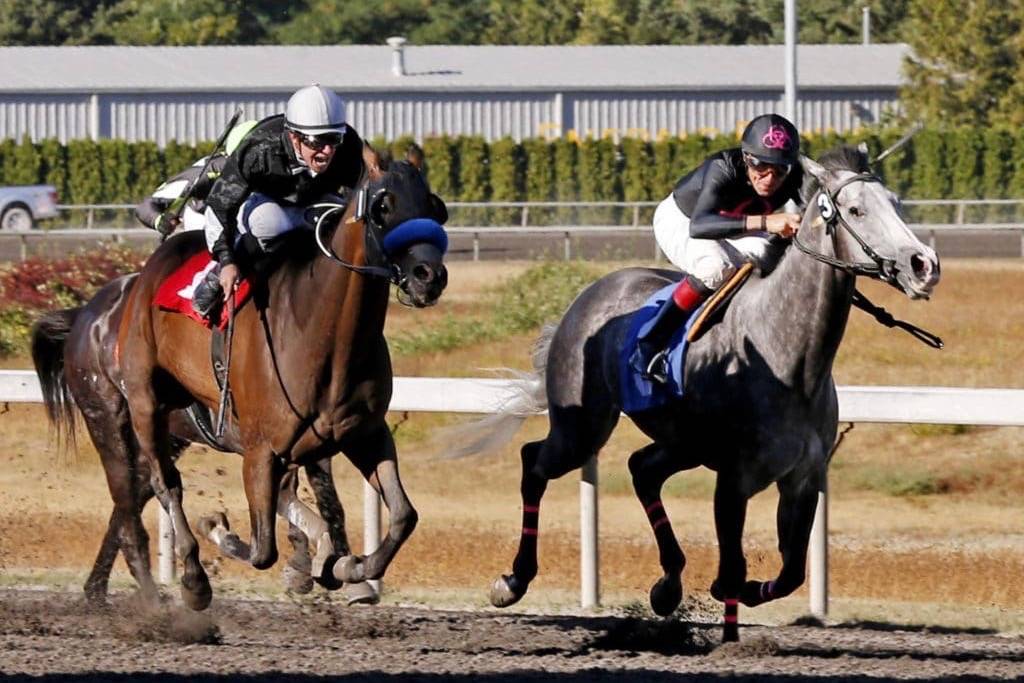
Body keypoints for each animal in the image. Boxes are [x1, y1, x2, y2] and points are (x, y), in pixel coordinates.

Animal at [33, 161, 448, 610]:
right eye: (382, 206)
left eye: (432, 204)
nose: (429, 275)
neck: (321, 328)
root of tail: (86, 315)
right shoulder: (261, 448)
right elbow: (263, 544)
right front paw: (227, 533)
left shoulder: (360, 433)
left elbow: (400, 514)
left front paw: (345, 568)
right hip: (117, 417)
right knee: (144, 497)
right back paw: (170, 592)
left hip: (168, 433)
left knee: (136, 497)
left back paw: (99, 587)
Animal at [471, 147, 937, 643]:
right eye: (854, 210)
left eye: (896, 201)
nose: (924, 265)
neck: (789, 354)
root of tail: (584, 298)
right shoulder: (734, 479)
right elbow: (733, 564)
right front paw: (728, 620)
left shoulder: (802, 477)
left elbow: (790, 571)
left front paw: (740, 594)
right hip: (582, 428)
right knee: (534, 463)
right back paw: (513, 580)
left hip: (683, 443)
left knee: (642, 469)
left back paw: (668, 584)